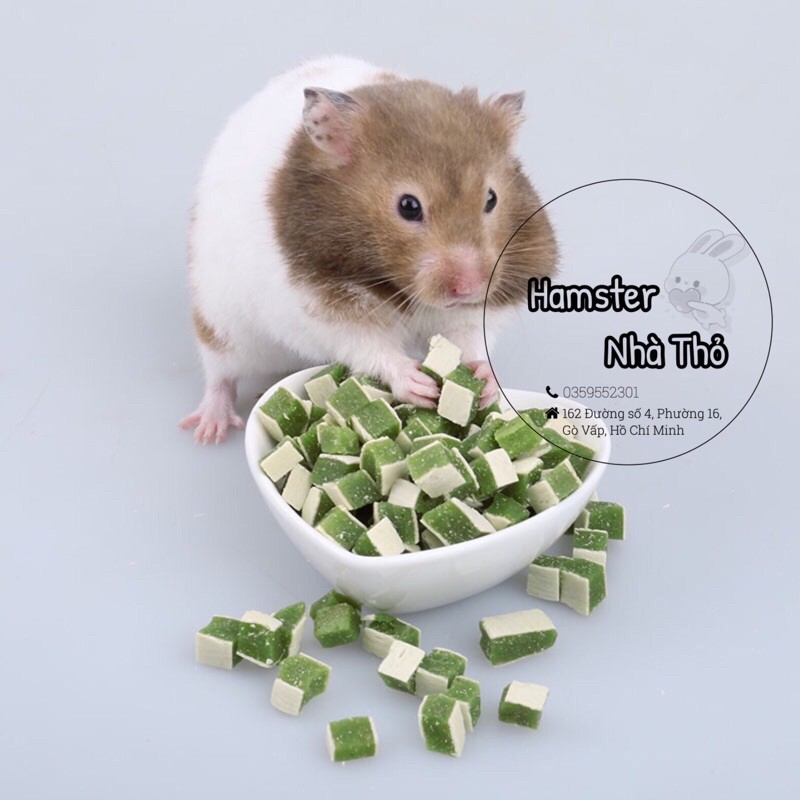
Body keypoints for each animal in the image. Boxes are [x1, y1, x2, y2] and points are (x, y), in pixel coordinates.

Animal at [180, 55, 557, 443]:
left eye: (491, 198)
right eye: (408, 206)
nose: (469, 287)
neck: (395, 284)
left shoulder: (475, 309)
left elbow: (469, 338)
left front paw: (482, 381)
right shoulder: (319, 307)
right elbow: (371, 345)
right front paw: (418, 385)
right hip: (220, 322)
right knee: (220, 374)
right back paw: (208, 429)